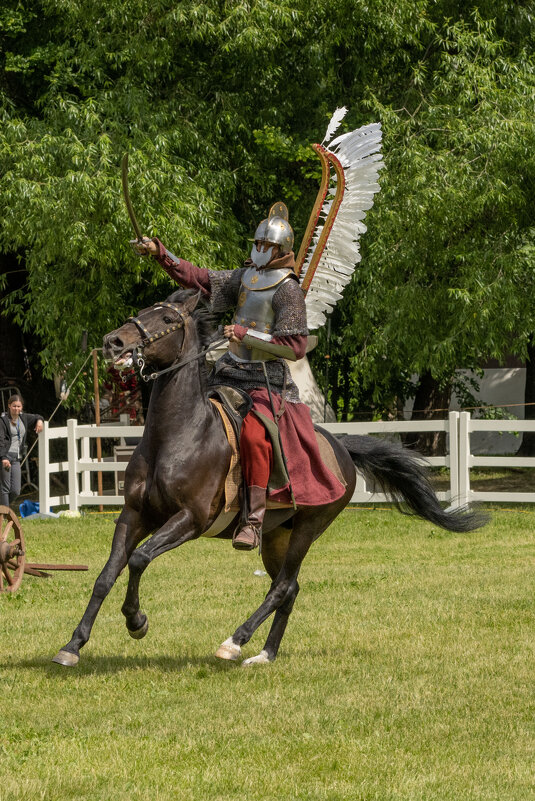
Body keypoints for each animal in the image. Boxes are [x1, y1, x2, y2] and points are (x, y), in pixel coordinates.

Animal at [53, 290, 486, 664]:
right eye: (143, 310)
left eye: (166, 319)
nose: (113, 342)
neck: (177, 434)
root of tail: (341, 449)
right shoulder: (134, 515)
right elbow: (107, 575)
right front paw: (73, 645)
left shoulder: (190, 520)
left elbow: (140, 559)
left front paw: (136, 621)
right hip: (277, 536)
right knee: (289, 589)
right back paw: (265, 654)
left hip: (307, 530)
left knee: (281, 587)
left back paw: (235, 641)